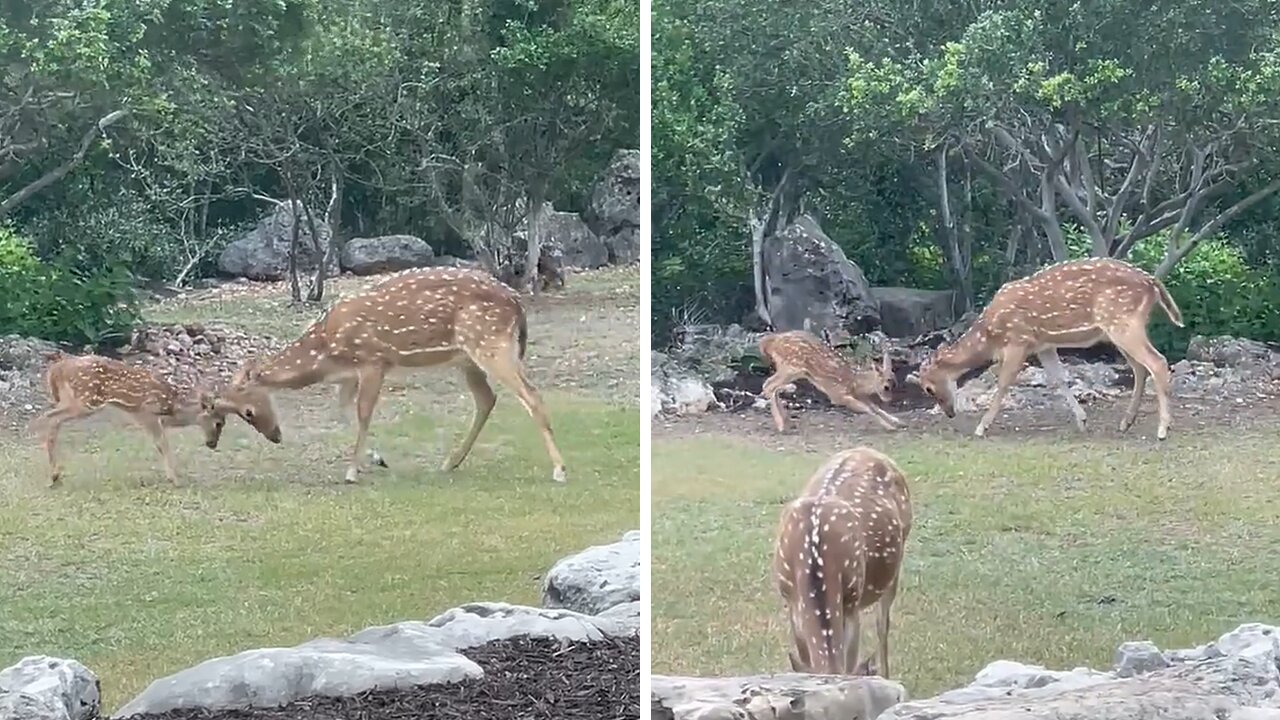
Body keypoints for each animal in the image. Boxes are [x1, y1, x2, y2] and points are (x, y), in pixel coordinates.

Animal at [30, 351, 280, 484]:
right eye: (219, 422)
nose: (212, 444)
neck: (171, 407)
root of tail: (57, 369)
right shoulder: (146, 412)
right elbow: (162, 443)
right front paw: (175, 479)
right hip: (86, 400)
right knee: (47, 417)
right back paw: (53, 474)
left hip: (71, 399)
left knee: (50, 418)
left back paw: (55, 475)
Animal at [227, 265, 568, 481]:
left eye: (247, 411)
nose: (275, 437)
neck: (326, 351)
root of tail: (517, 303)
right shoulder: (350, 374)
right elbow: (344, 412)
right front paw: (375, 460)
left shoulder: (374, 361)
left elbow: (363, 413)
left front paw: (352, 472)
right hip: (467, 358)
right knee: (486, 399)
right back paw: (450, 462)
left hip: (490, 343)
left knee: (531, 396)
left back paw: (560, 470)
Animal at [752, 330, 906, 430]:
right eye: (886, 386)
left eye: (895, 383)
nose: (888, 399)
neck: (854, 383)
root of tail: (769, 343)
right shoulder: (838, 395)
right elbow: (867, 409)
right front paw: (889, 426)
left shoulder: (859, 395)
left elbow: (875, 407)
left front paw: (897, 421)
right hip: (791, 367)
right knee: (768, 385)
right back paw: (781, 424)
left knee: (771, 386)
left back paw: (786, 421)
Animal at [773, 445, 916, 676]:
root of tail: (869, 450)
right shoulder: (791, 602)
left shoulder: (851, 602)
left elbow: (849, 662)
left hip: (898, 554)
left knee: (882, 624)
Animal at [906, 257, 1182, 438]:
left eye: (928, 387)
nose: (949, 413)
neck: (990, 335)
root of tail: (1152, 282)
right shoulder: (1043, 345)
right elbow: (1058, 379)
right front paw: (1082, 420)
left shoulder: (1018, 340)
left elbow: (1003, 383)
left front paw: (981, 427)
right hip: (1118, 329)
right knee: (1140, 368)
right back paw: (1126, 423)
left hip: (1123, 323)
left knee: (1157, 362)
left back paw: (1162, 429)